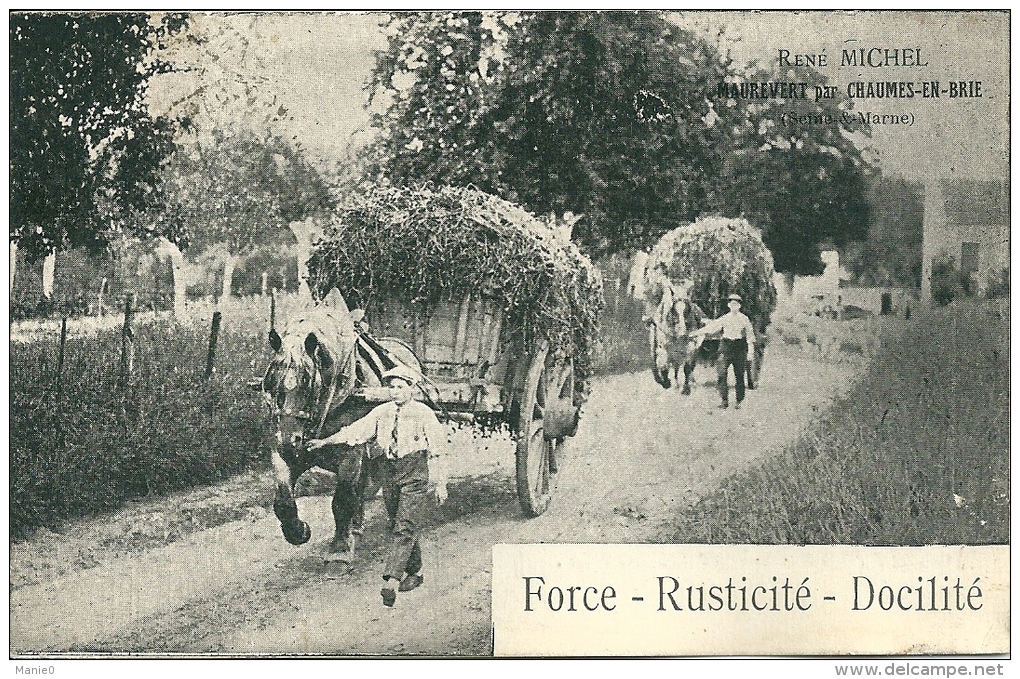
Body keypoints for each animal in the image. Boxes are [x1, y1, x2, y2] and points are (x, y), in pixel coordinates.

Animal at [263, 287, 426, 558]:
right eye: (271, 382)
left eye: (309, 383)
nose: (289, 439)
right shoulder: (284, 453)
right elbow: (283, 502)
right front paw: (299, 531)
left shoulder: (351, 453)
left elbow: (341, 499)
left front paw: (339, 548)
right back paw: (357, 527)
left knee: (388, 485)